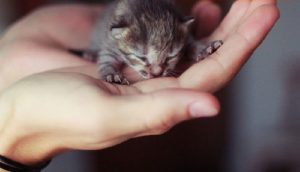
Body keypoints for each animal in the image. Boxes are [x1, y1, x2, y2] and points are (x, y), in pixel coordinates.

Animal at [86, 0, 223, 84]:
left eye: (170, 56)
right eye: (141, 57)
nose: (157, 74)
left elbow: (191, 42)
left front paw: (203, 49)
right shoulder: (110, 43)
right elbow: (106, 59)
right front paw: (111, 74)